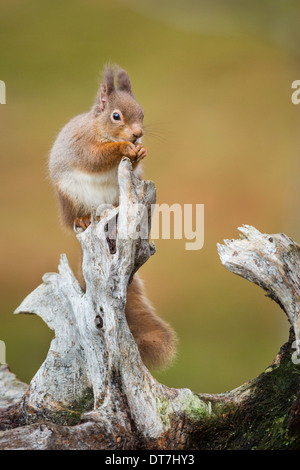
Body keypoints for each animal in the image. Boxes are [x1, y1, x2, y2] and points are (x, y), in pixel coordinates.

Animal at [48, 65, 177, 368]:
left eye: (142, 113)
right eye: (116, 116)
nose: (138, 134)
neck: (100, 128)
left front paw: (141, 150)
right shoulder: (83, 145)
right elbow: (97, 157)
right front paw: (123, 148)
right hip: (70, 198)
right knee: (77, 217)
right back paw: (83, 220)